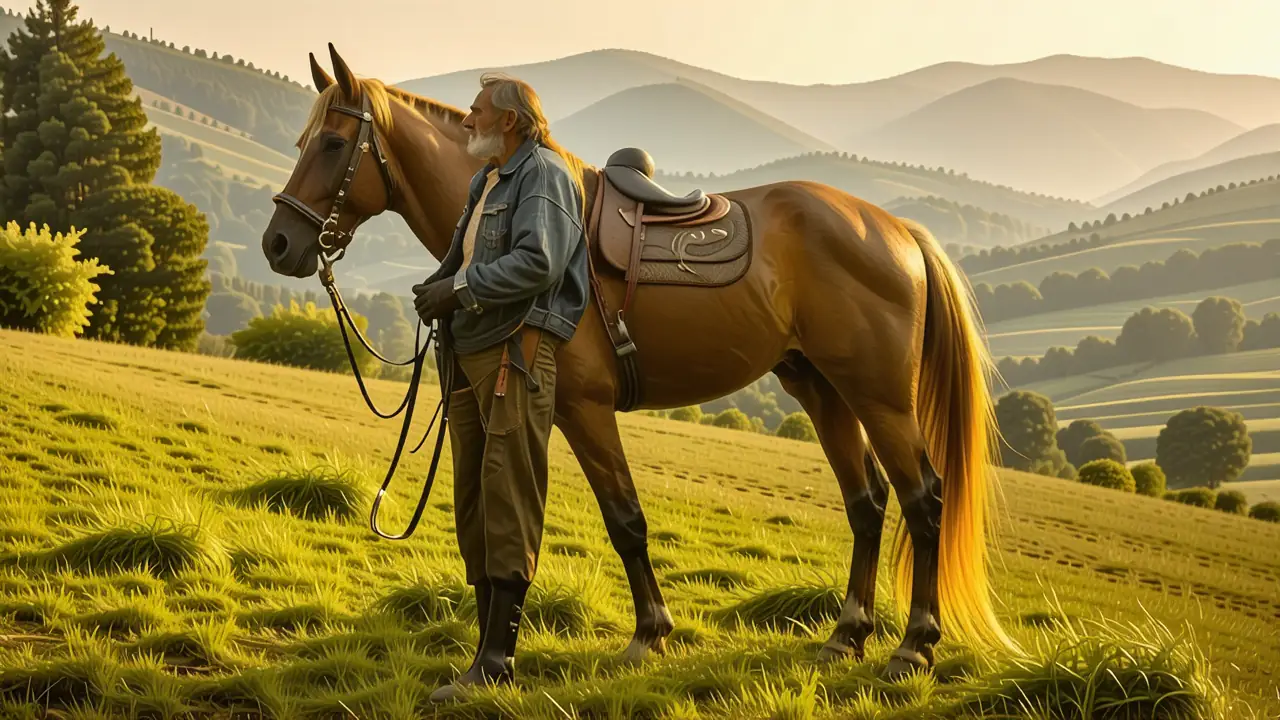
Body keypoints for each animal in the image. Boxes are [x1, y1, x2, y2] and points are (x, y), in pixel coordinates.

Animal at [260, 43, 1019, 677]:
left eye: (334, 143)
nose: (278, 243)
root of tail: (899, 232)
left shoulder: (584, 409)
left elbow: (625, 521)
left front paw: (648, 633)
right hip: (823, 390)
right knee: (867, 504)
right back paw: (846, 634)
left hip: (879, 396)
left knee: (925, 500)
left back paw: (914, 645)